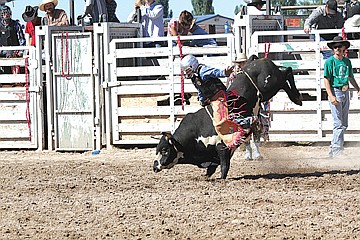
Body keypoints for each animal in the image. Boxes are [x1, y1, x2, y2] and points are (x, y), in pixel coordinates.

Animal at [153, 57, 302, 179]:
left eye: (165, 150)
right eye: (157, 149)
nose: (155, 166)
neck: (196, 133)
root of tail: (258, 60)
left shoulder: (222, 147)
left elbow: (224, 166)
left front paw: (221, 179)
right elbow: (211, 169)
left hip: (271, 84)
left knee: (287, 71)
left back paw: (297, 97)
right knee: (286, 76)